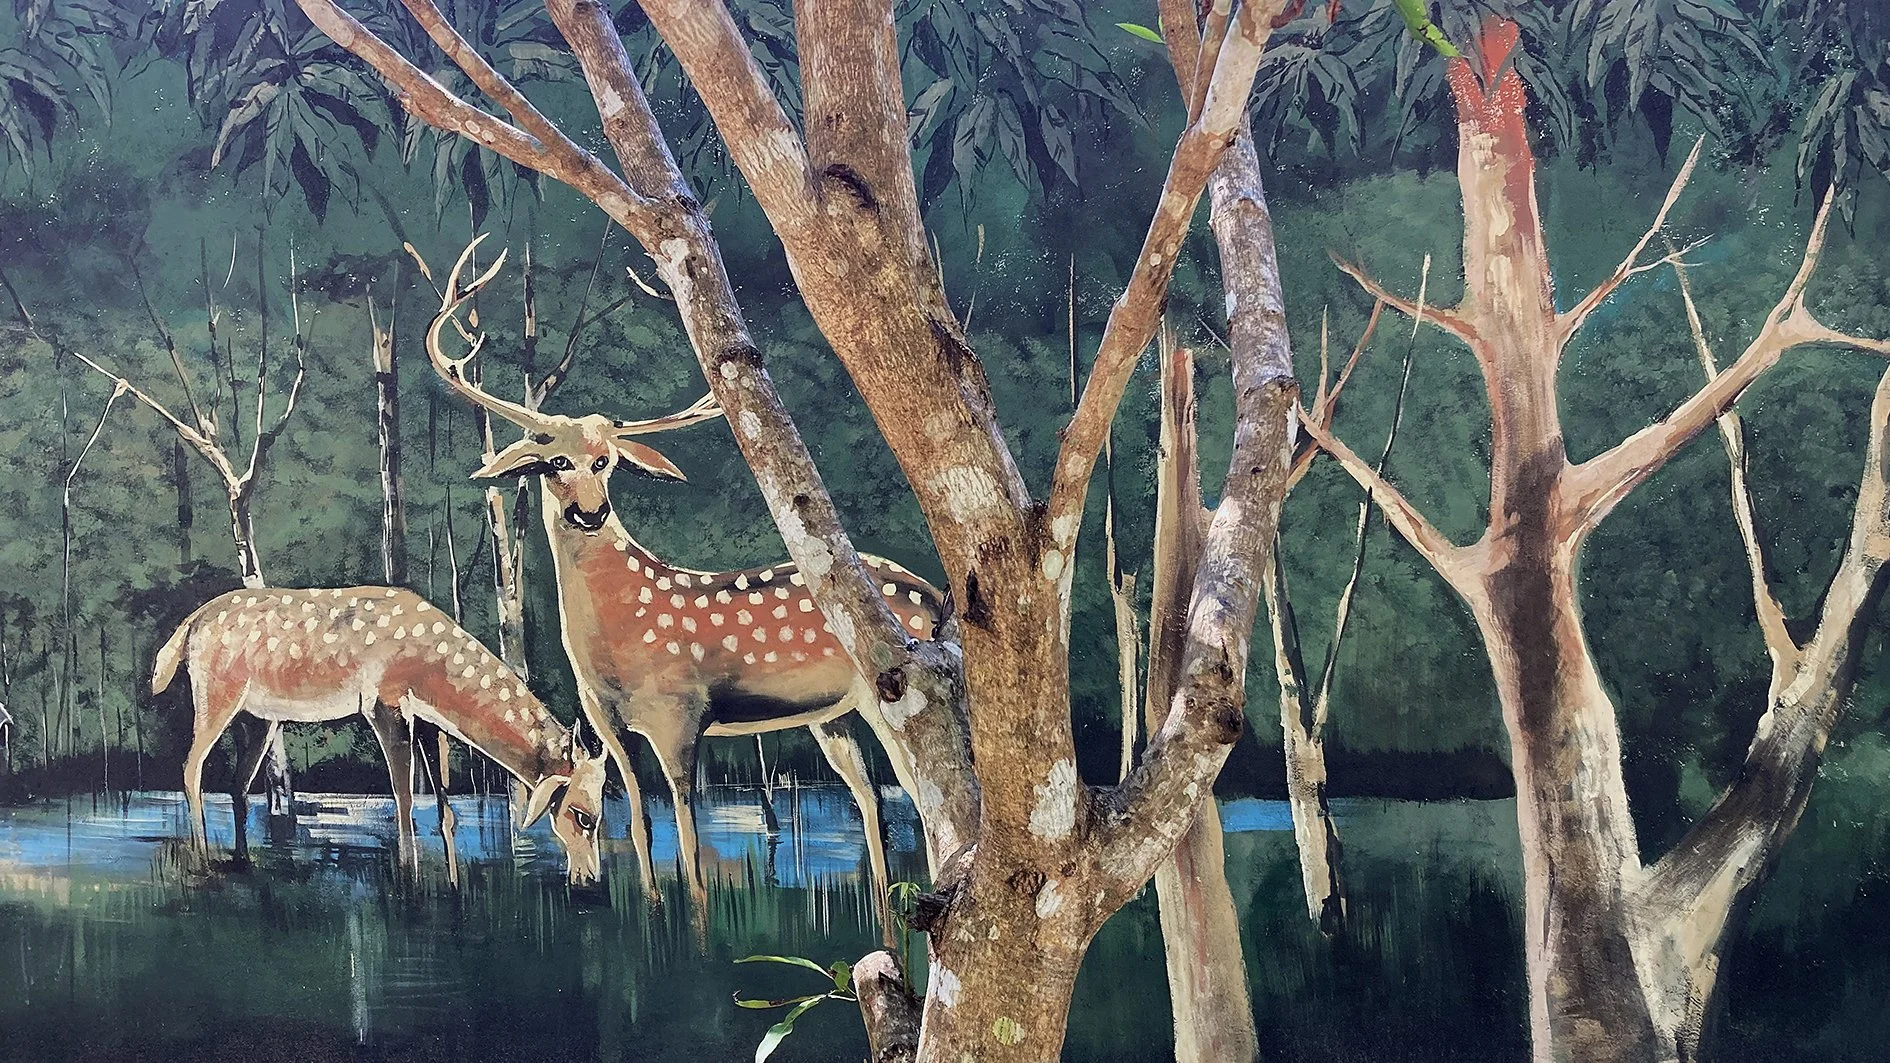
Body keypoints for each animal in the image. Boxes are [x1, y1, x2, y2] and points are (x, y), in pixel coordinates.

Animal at [151, 584, 607, 884]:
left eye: (601, 814)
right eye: (582, 815)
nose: (591, 878)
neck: (433, 678)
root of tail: (185, 630)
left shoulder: (428, 720)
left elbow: (445, 809)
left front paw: (451, 879)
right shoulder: (382, 702)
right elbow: (403, 796)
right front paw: (409, 874)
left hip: (259, 717)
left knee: (237, 783)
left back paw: (243, 861)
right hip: (215, 691)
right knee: (191, 766)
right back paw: (202, 856)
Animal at [425, 237, 939, 942]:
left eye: (607, 460)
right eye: (554, 462)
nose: (590, 512)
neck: (612, 637)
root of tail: (937, 598)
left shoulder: (681, 712)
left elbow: (689, 834)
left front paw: (696, 932)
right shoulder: (606, 721)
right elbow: (642, 823)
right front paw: (652, 916)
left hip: (882, 696)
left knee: (928, 794)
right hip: (830, 717)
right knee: (873, 803)